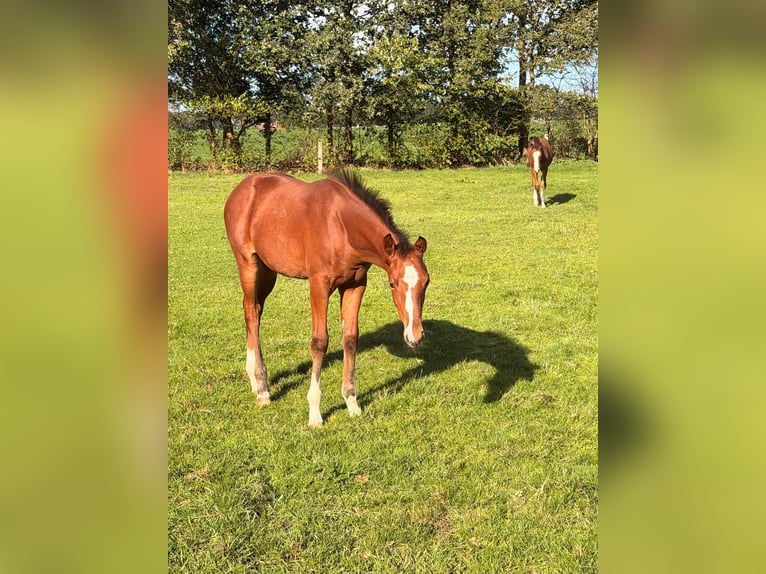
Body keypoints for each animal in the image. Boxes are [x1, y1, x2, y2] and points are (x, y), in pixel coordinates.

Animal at [224, 168, 430, 427]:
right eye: (392, 284)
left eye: (426, 282)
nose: (415, 337)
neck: (341, 226)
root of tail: (242, 187)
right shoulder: (318, 285)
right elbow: (320, 341)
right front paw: (315, 414)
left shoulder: (355, 284)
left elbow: (350, 338)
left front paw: (352, 403)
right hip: (248, 264)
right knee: (251, 311)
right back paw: (261, 389)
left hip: (268, 269)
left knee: (255, 309)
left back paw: (255, 380)